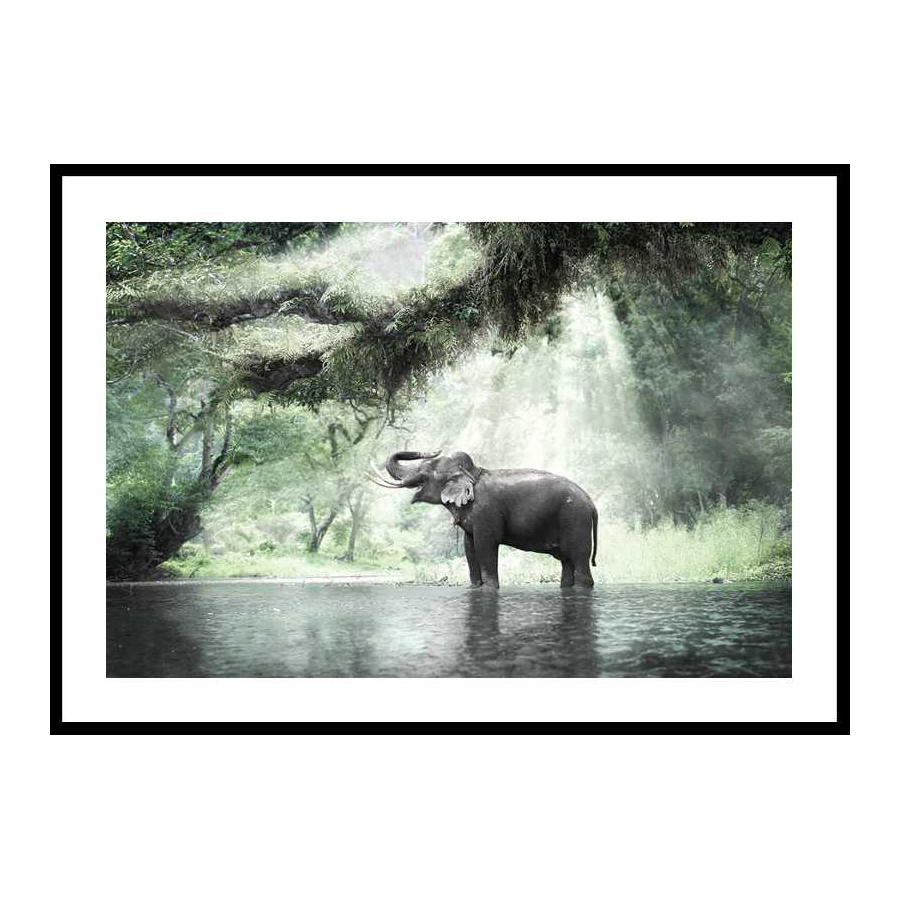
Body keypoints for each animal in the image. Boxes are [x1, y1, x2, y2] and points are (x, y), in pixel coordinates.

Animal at [370, 450, 598, 589]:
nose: (436, 449)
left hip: (575, 520)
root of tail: (591, 503)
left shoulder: (486, 511)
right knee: (566, 562)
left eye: (424, 473)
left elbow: (485, 544)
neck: (472, 473)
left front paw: (489, 588)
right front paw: (474, 587)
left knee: (579, 559)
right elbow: (469, 547)